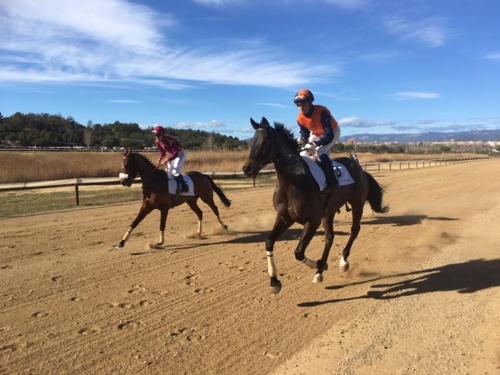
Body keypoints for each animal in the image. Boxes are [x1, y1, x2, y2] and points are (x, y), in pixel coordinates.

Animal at [241, 117, 386, 294]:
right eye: (252, 141)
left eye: (265, 140)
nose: (247, 169)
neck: (294, 181)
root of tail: (359, 168)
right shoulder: (284, 217)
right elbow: (269, 242)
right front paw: (274, 281)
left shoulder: (312, 221)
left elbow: (298, 252)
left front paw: (319, 264)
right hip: (329, 211)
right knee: (330, 237)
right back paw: (319, 273)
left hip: (357, 203)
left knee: (354, 230)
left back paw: (343, 262)